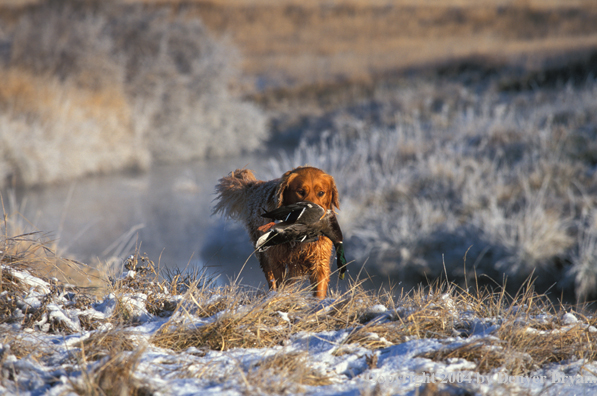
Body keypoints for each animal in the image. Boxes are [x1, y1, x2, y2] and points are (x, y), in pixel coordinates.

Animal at [212, 166, 338, 298]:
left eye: (321, 193)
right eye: (300, 191)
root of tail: (256, 186)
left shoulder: (319, 260)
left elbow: (319, 288)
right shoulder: (276, 259)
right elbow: (279, 281)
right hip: (263, 252)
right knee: (270, 276)